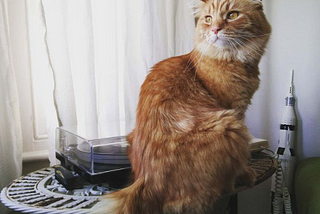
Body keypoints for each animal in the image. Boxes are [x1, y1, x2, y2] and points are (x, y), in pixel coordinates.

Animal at [91, 0, 272, 213]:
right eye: (208, 19)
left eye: (233, 15)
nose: (215, 29)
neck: (229, 59)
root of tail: (146, 181)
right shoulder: (236, 109)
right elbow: (243, 161)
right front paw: (246, 172)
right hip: (231, 126)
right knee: (224, 187)